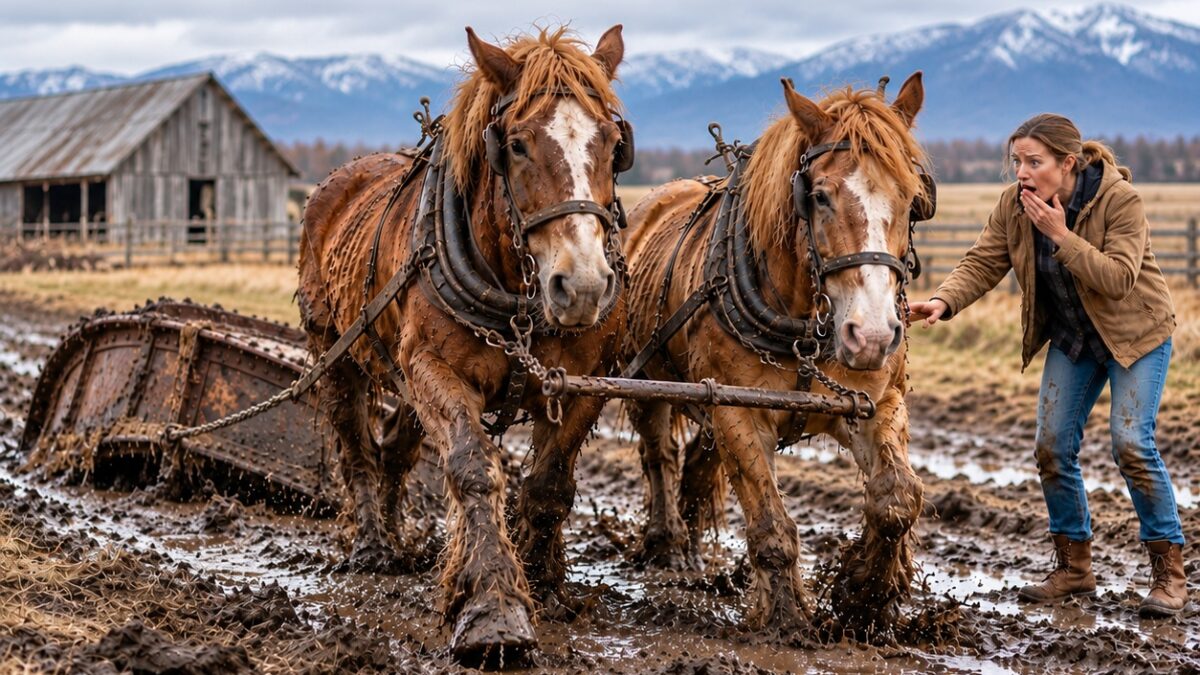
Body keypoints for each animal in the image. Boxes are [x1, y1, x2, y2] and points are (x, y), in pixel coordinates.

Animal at [297, 25, 630, 662]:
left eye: (613, 142)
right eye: (516, 145)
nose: (581, 285)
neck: (518, 296)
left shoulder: (585, 381)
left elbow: (550, 484)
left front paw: (545, 585)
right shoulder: (432, 369)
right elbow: (473, 468)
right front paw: (491, 607)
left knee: (394, 451)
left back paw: (397, 536)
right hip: (336, 353)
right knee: (356, 447)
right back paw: (374, 548)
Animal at [621, 73, 930, 635]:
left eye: (913, 197)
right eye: (820, 196)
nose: (873, 335)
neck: (806, 326)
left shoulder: (876, 403)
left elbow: (898, 497)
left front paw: (865, 594)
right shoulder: (740, 414)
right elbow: (769, 522)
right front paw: (785, 614)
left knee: (696, 465)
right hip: (649, 380)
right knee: (659, 455)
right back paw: (667, 544)